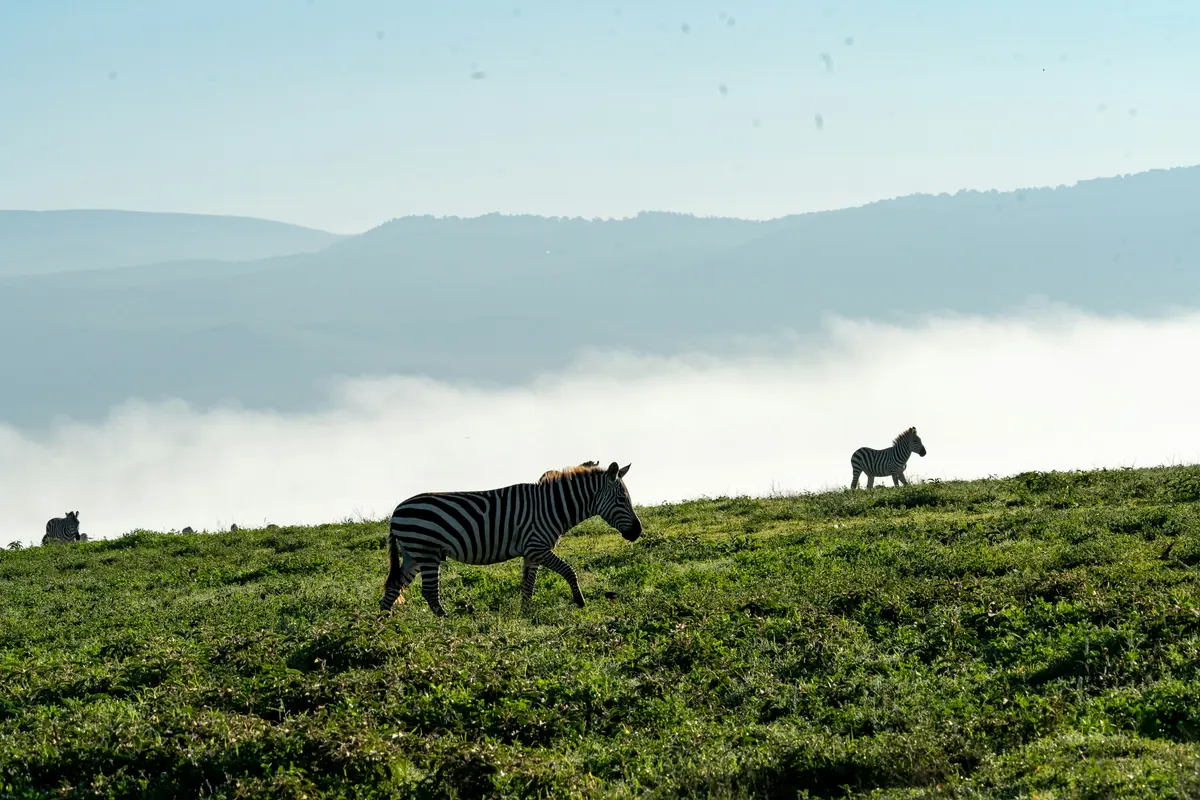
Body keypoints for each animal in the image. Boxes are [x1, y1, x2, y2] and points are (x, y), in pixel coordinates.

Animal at [380, 460, 642, 617]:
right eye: (622, 499)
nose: (637, 532)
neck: (552, 506)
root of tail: (396, 512)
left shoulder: (531, 552)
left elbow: (528, 585)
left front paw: (525, 614)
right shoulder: (537, 547)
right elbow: (569, 571)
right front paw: (580, 602)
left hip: (414, 554)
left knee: (394, 585)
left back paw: (383, 623)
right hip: (427, 552)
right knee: (429, 592)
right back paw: (446, 621)